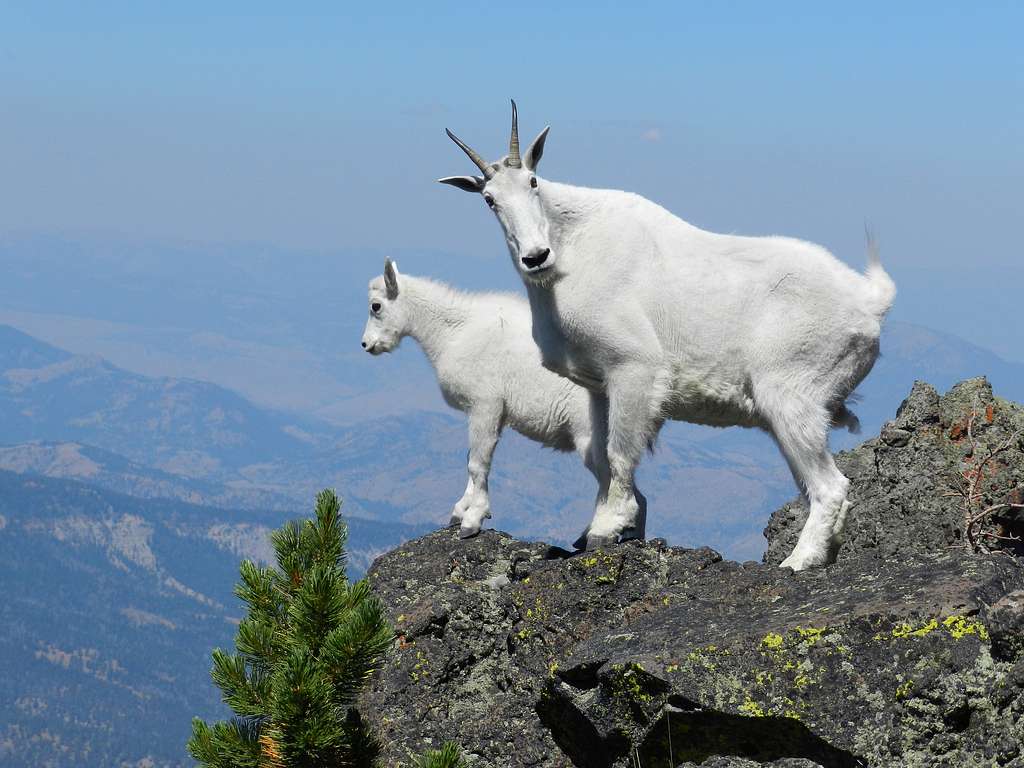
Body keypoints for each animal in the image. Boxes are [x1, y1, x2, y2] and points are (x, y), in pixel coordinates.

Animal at [361, 259, 644, 540]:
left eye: (376, 306)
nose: (366, 344)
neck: (451, 332)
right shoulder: (490, 413)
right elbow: (472, 458)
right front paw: (460, 511)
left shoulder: (484, 404)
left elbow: (477, 462)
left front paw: (472, 520)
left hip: (589, 435)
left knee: (614, 481)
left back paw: (601, 533)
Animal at [438, 102, 895, 570]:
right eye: (490, 200)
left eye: (533, 181)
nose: (535, 256)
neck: (570, 253)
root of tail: (869, 302)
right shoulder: (598, 385)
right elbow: (601, 454)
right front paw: (598, 527)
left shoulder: (633, 368)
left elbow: (620, 452)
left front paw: (607, 528)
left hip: (790, 394)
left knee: (830, 486)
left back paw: (797, 561)